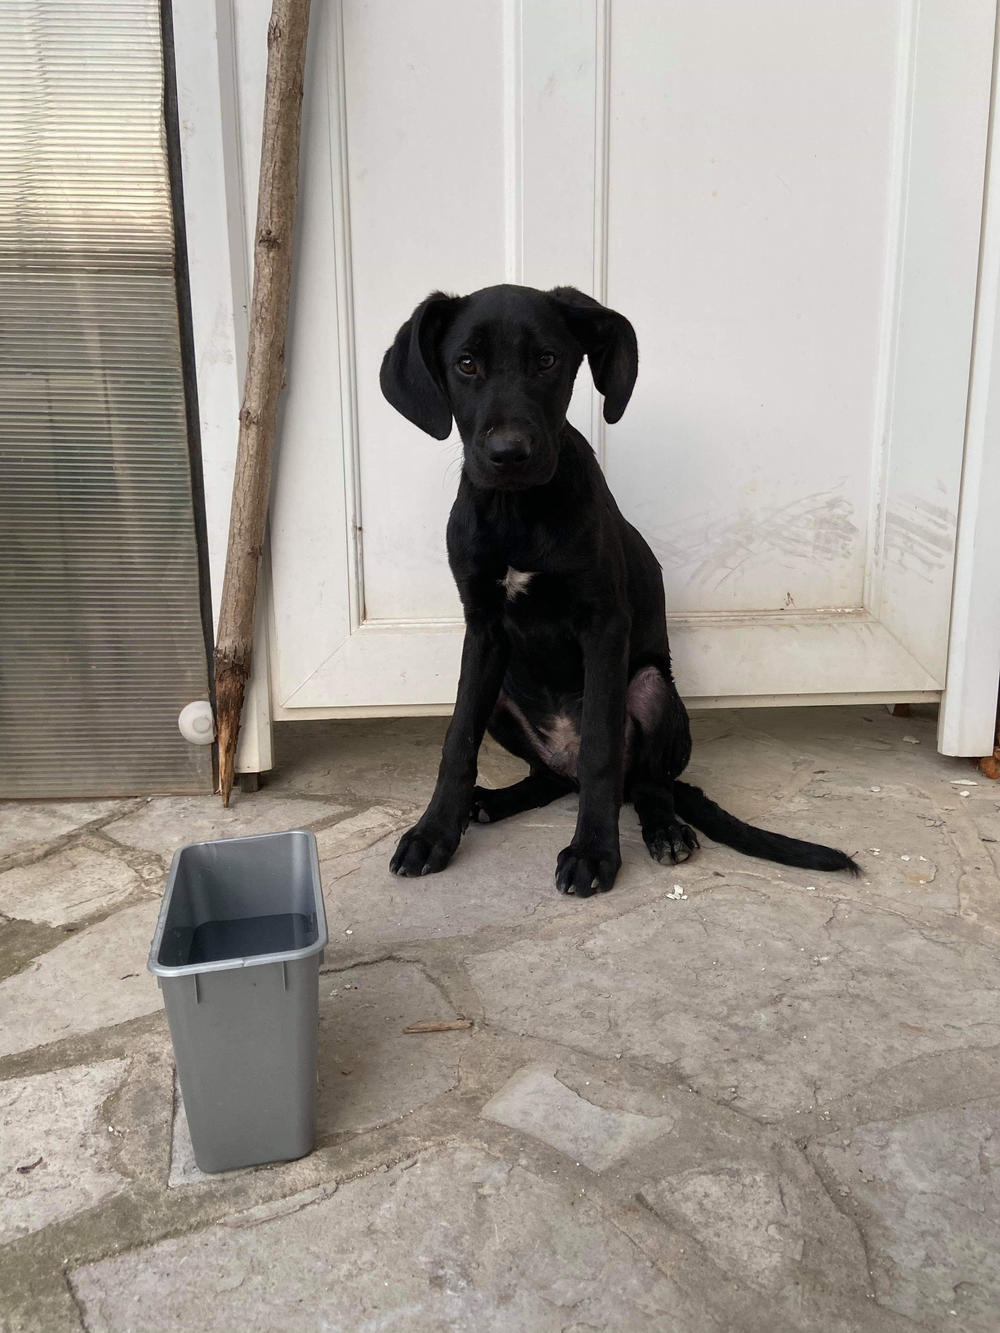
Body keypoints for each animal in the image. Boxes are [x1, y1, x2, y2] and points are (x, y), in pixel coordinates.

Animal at [380, 283, 859, 895]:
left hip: (651, 688)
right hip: (504, 694)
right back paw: (491, 802)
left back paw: (666, 830)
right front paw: (434, 832)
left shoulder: (604, 626)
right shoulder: (482, 629)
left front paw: (593, 852)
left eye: (547, 360)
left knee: (643, 783)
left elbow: (602, 751)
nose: (509, 453)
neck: (519, 512)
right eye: (466, 364)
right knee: (551, 777)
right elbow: (457, 740)